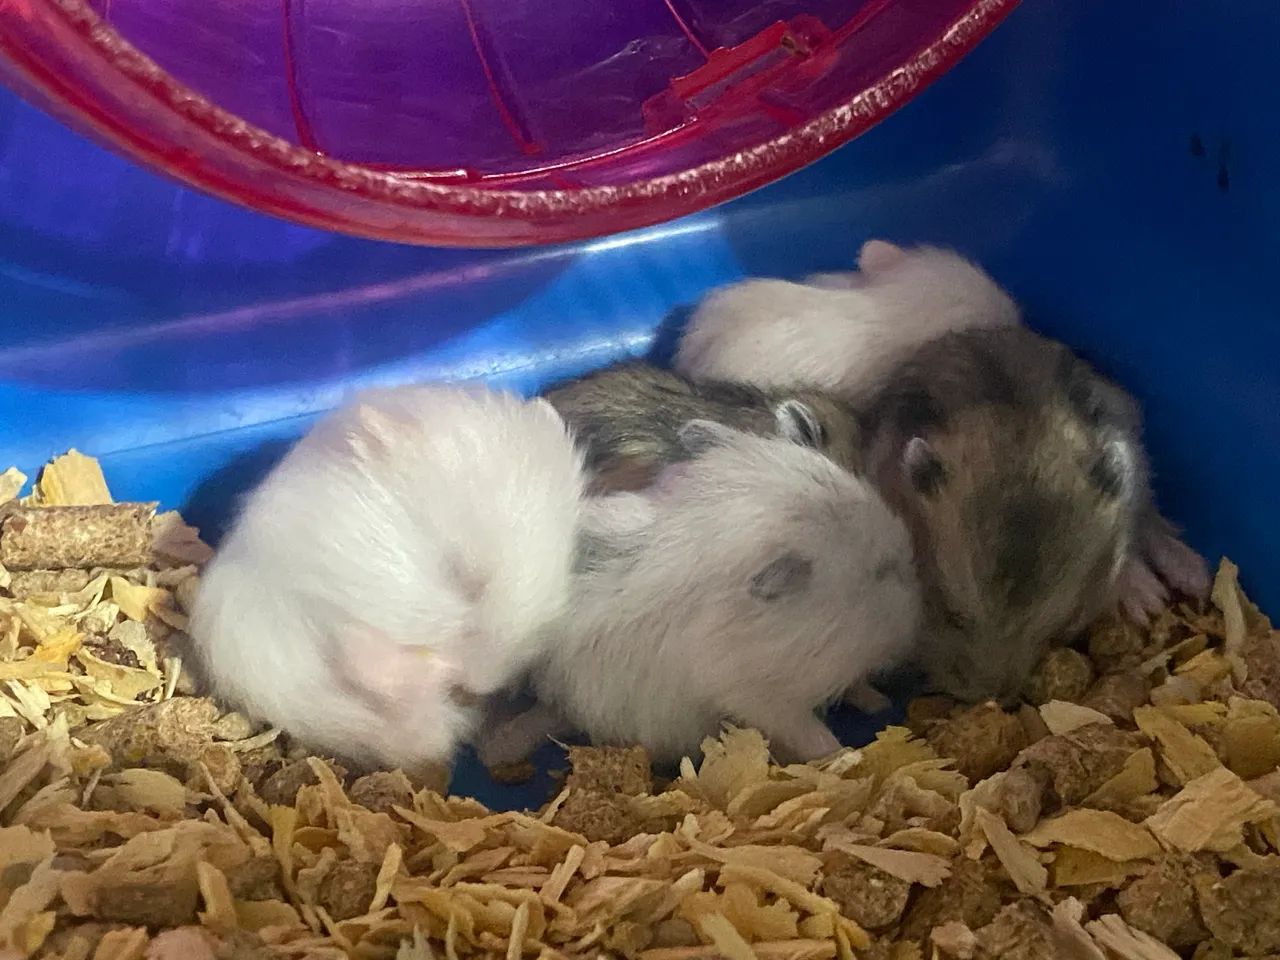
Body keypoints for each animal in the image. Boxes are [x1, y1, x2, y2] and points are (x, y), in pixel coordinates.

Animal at [480, 407, 922, 768]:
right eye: (880, 572)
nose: (918, 623)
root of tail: (561, 706)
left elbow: (856, 685)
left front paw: (879, 703)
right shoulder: (757, 697)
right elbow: (808, 731)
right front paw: (844, 755)